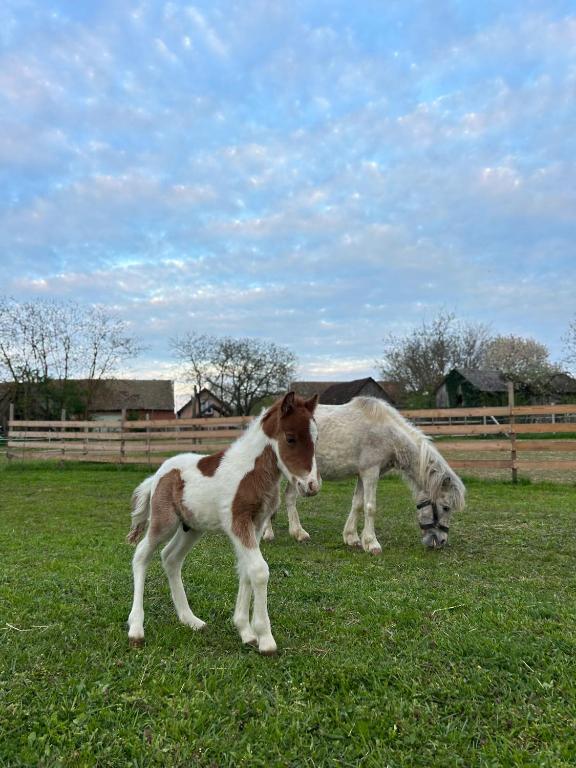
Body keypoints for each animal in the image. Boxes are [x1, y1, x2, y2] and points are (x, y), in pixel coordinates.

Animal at [126, 391, 320, 655]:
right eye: (290, 438)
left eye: (316, 438)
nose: (311, 486)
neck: (251, 473)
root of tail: (157, 474)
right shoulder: (237, 522)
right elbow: (259, 570)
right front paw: (265, 638)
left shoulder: (256, 524)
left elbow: (246, 570)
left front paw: (246, 632)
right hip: (163, 522)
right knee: (141, 555)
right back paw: (136, 629)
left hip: (192, 528)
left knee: (170, 558)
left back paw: (190, 620)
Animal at [262, 396, 465, 553]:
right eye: (446, 507)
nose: (441, 541)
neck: (389, 434)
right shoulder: (371, 473)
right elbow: (370, 507)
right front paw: (372, 543)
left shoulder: (363, 474)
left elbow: (358, 504)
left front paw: (351, 537)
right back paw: (268, 533)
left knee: (289, 497)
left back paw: (298, 533)